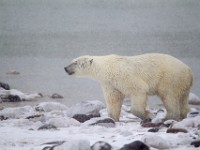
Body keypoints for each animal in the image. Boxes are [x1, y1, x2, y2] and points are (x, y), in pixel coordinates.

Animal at [65, 53, 193, 121]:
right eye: (72, 61)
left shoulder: (124, 76)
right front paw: (113, 118)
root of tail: (189, 70)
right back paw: (182, 115)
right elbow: (113, 99)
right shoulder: (110, 83)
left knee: (169, 96)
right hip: (182, 83)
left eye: (75, 62)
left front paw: (147, 115)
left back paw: (168, 117)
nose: (65, 68)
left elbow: (139, 89)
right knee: (182, 98)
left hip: (170, 77)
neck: (106, 67)